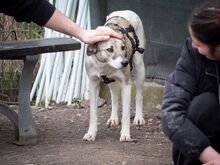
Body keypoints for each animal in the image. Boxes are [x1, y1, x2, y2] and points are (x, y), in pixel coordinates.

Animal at [83, 10, 145, 142]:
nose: (125, 63)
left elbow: (126, 115)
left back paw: (138, 117)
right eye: (109, 49)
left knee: (139, 96)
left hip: (139, 68)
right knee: (115, 98)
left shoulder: (126, 86)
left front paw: (125, 134)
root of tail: (126, 11)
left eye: (123, 47)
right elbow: (93, 114)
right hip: (111, 81)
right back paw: (114, 118)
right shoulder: (93, 85)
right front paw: (91, 133)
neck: (104, 65)